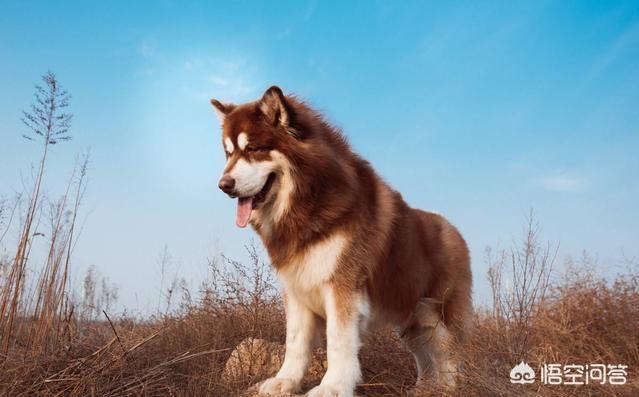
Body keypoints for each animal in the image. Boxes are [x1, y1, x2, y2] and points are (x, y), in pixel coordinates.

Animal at [212, 87, 472, 396]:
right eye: (228, 153)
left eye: (253, 148)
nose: (223, 185)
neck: (307, 204)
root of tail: (453, 228)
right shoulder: (297, 287)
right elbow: (295, 342)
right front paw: (284, 381)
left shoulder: (342, 286)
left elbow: (338, 342)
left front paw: (332, 386)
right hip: (412, 319)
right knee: (424, 354)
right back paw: (423, 388)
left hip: (438, 315)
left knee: (449, 354)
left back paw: (447, 387)